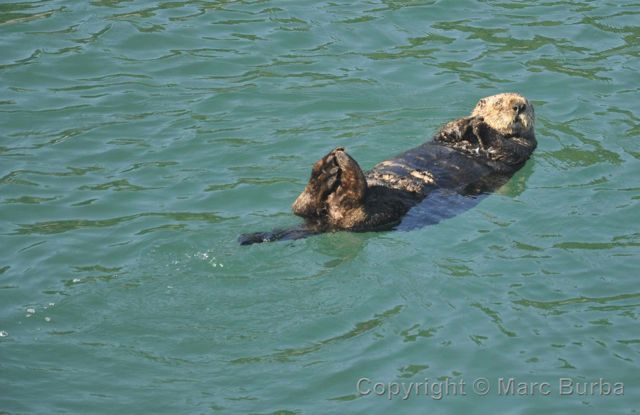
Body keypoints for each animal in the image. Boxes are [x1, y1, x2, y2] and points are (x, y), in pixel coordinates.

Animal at [239, 92, 536, 245]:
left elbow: (506, 145)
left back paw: (341, 166)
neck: (472, 144)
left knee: (351, 212)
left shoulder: (522, 149)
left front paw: (480, 126)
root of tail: (324, 224)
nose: (519, 106)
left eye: (527, 105)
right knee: (301, 207)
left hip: (385, 211)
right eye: (499, 102)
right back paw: (327, 167)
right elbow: (444, 131)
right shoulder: (443, 136)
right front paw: (465, 122)